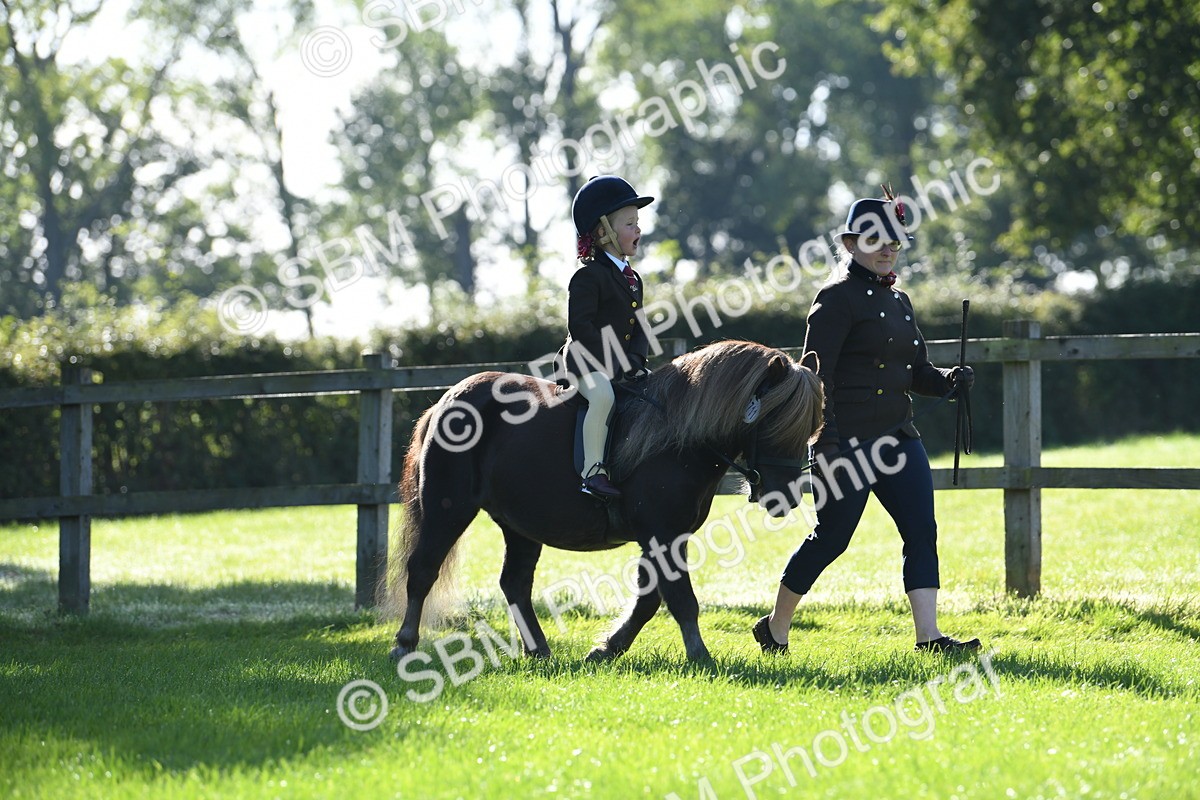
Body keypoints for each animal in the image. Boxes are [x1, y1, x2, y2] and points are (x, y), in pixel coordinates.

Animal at [387, 339, 824, 662]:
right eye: (774, 419)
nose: (785, 496)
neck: (678, 440)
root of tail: (446, 401)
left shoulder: (666, 538)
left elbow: (650, 599)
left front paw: (608, 649)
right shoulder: (661, 534)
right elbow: (681, 598)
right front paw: (701, 657)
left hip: (519, 524)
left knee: (515, 583)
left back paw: (539, 650)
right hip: (448, 509)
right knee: (423, 570)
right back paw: (404, 645)